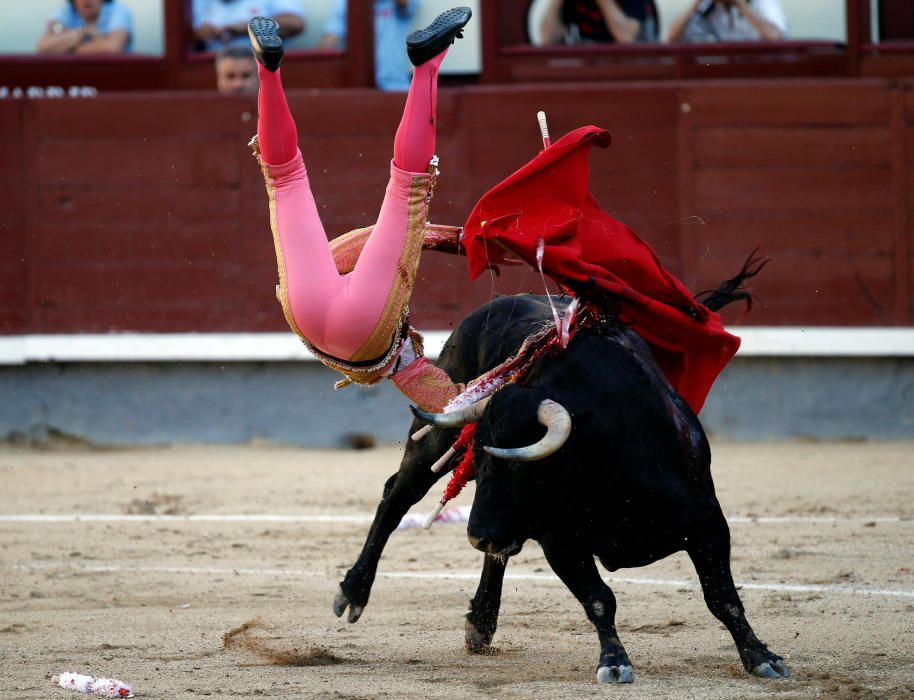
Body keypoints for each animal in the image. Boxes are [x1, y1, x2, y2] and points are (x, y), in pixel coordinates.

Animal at [332, 290, 788, 684]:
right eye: (476, 458)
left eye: (516, 467)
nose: (476, 535)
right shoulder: (561, 541)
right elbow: (600, 598)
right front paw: (614, 663)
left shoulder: (707, 523)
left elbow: (722, 597)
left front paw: (761, 657)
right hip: (436, 442)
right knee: (397, 495)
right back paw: (353, 592)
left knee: (494, 549)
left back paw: (481, 621)